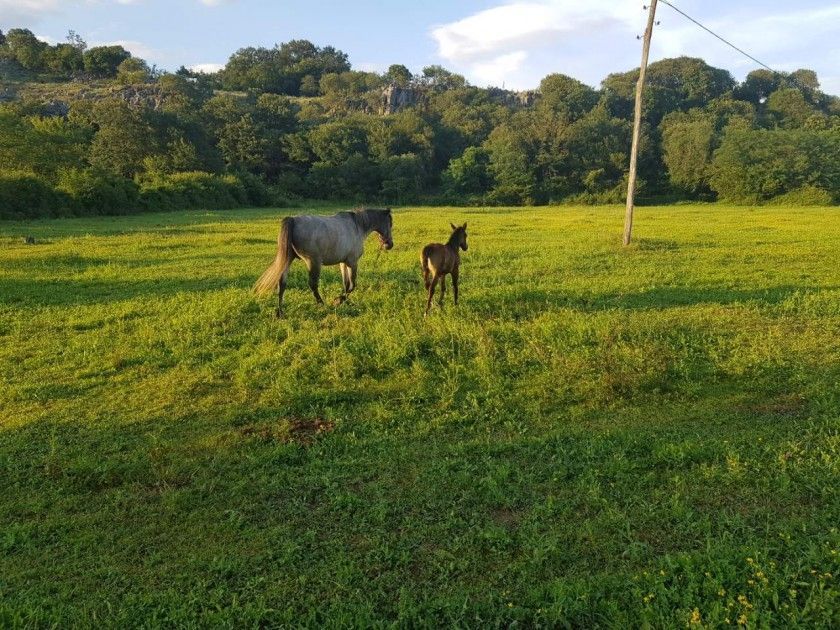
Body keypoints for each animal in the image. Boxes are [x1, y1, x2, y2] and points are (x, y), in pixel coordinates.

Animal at [253, 207, 394, 316]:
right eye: (390, 224)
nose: (389, 245)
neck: (357, 226)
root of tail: (293, 219)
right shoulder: (352, 262)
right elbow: (352, 285)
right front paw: (339, 300)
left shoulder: (343, 263)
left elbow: (346, 284)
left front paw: (345, 301)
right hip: (313, 262)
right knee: (313, 285)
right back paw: (322, 304)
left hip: (288, 260)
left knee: (282, 284)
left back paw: (280, 312)